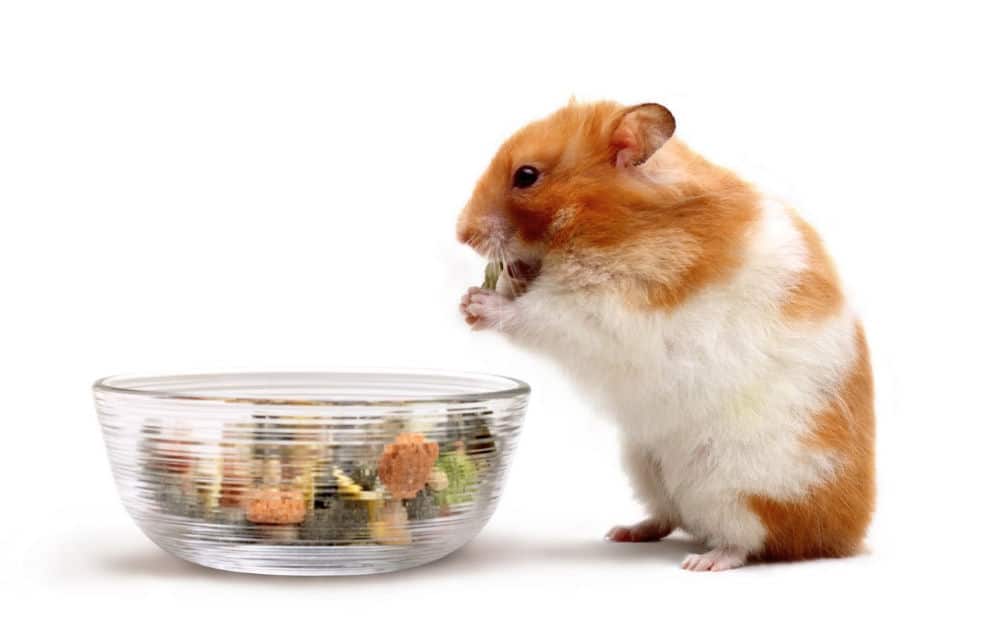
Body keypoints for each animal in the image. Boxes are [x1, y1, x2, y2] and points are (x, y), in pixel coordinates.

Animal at [458, 100, 872, 572]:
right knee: (668, 516)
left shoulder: (601, 311)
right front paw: (476, 295)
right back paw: (624, 532)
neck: (613, 223)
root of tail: (843, 537)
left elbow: (534, 315)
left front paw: (477, 304)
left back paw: (703, 562)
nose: (461, 233)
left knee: (749, 540)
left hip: (741, 485)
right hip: (644, 462)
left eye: (526, 176)